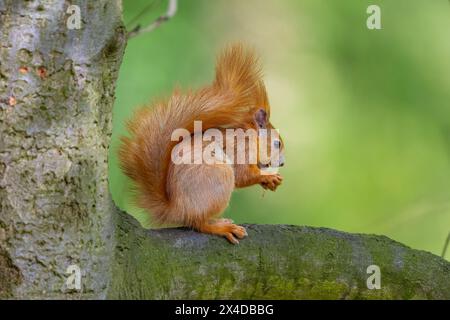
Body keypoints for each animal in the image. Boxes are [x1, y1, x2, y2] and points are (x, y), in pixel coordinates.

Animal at [118, 43, 284, 244]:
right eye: (277, 144)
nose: (282, 163)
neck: (249, 138)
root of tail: (177, 208)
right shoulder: (239, 150)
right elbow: (243, 175)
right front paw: (268, 177)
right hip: (218, 176)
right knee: (199, 223)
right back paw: (221, 228)